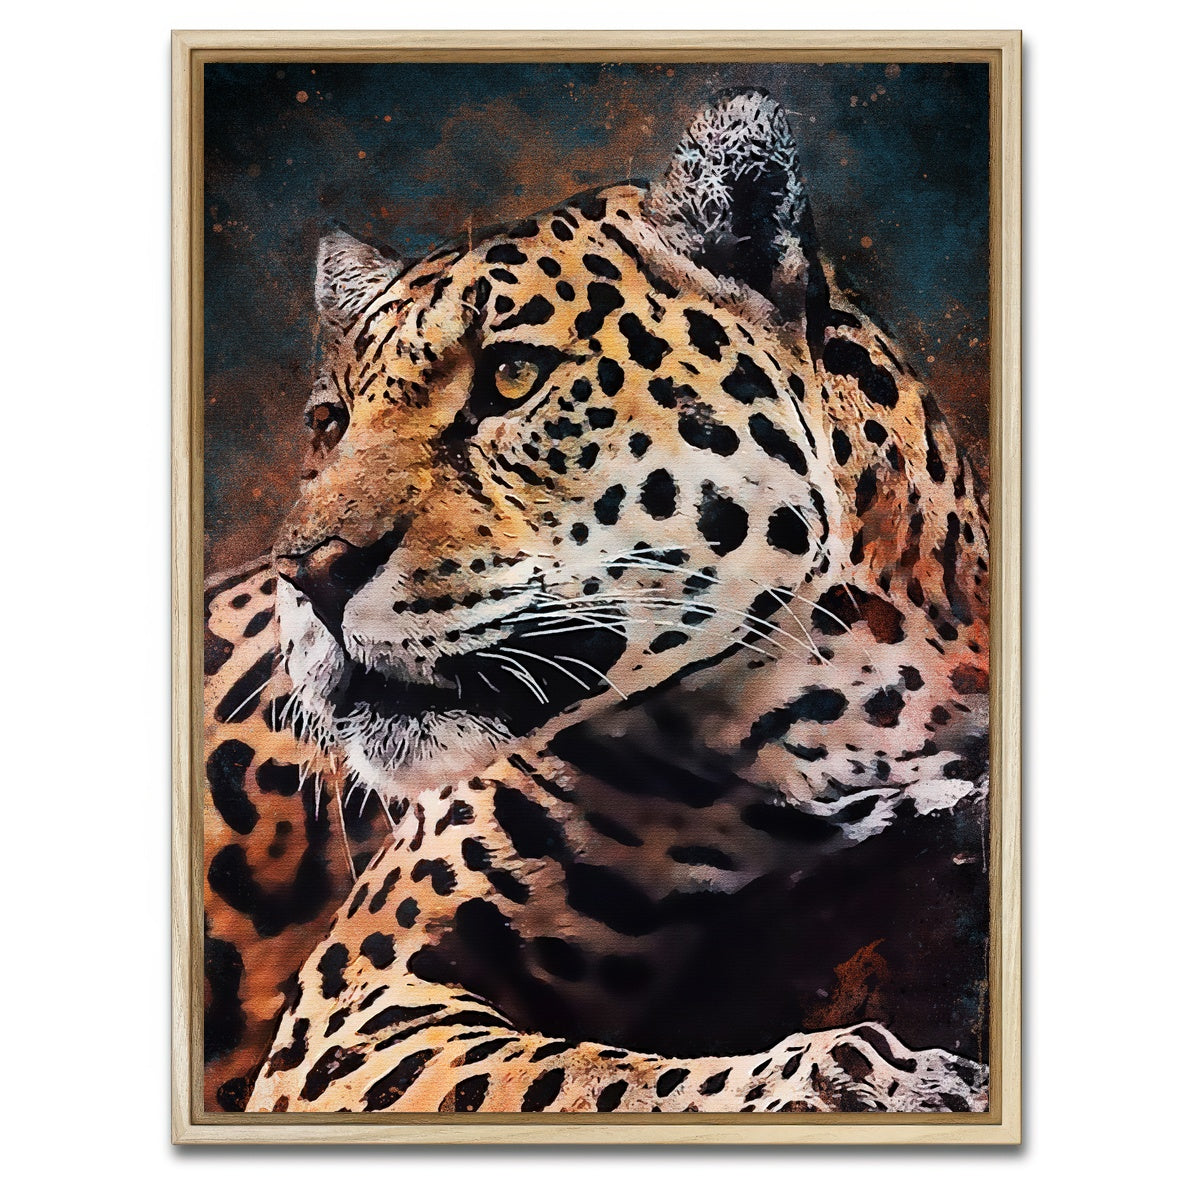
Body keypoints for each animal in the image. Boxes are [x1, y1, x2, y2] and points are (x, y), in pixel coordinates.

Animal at [201, 90, 991, 1115]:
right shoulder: (359, 1000)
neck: (843, 720)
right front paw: (869, 1080)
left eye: (510, 377)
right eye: (328, 424)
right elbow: (589, 1079)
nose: (310, 573)